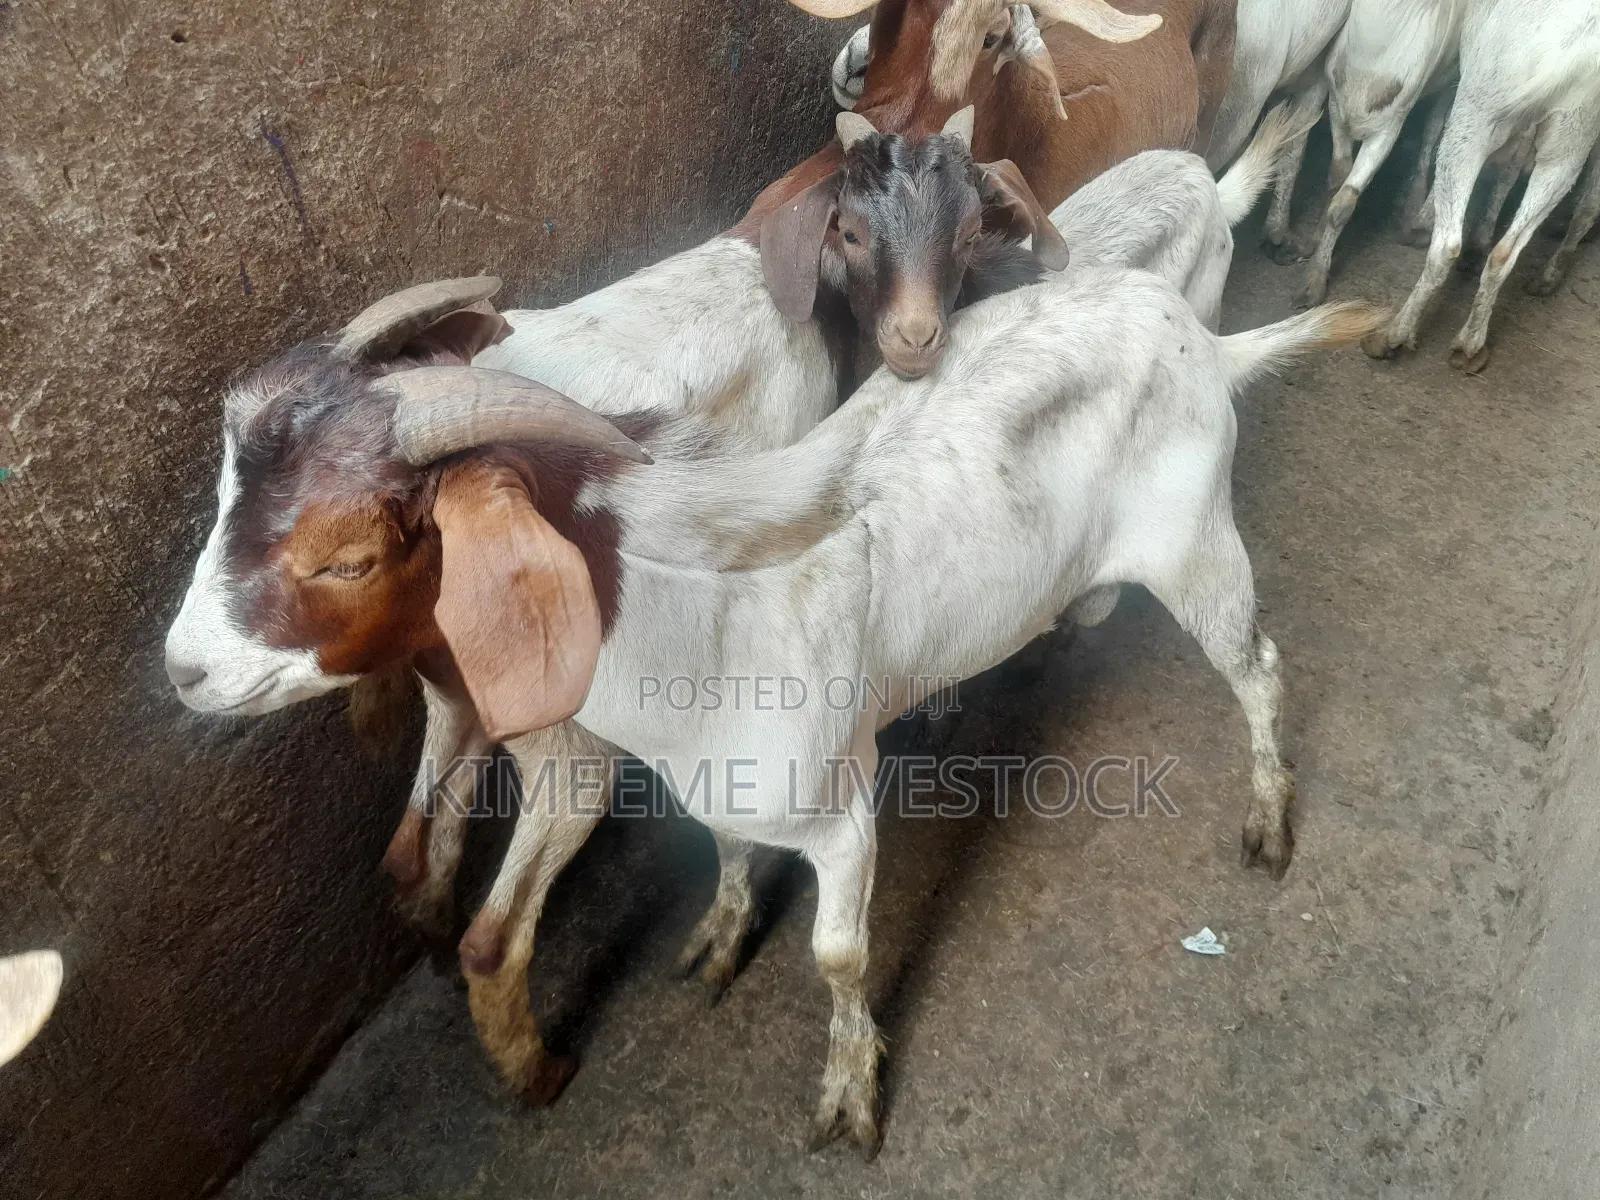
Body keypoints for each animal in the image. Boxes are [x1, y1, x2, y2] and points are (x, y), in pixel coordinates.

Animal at [165, 251, 1383, 1150]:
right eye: (223, 498)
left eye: (348, 556)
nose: (182, 670)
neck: (691, 622)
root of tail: (1198, 335)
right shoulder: (721, 780)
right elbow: (726, 848)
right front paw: (718, 935)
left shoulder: (841, 814)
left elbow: (839, 957)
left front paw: (849, 1093)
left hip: (1197, 541)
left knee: (1258, 667)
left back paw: (1268, 818)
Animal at [1293, 0, 1468, 308]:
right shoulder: (1337, 111)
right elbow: (1336, 180)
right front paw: (1314, 240)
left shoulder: (1387, 129)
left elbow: (1343, 205)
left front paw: (1314, 281)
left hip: (1450, 84)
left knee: (1433, 133)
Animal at [1362, 0, 1600, 370]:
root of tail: (1571, 49)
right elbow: (1507, 176)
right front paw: (1481, 234)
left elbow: (1436, 121)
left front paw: (1422, 215)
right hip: (1570, 141)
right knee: (1510, 251)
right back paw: (1472, 342)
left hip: (1477, 113)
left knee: (1446, 245)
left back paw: (1393, 335)